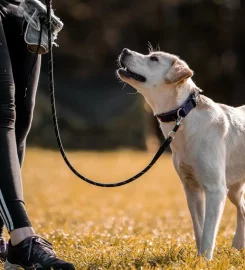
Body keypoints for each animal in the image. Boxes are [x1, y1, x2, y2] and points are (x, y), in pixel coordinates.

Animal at [116, 48, 245, 260]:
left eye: (154, 58)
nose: (125, 50)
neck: (183, 116)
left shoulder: (215, 189)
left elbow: (209, 231)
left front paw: (206, 260)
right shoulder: (191, 187)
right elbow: (199, 228)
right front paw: (199, 258)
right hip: (234, 187)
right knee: (242, 208)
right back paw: (239, 244)